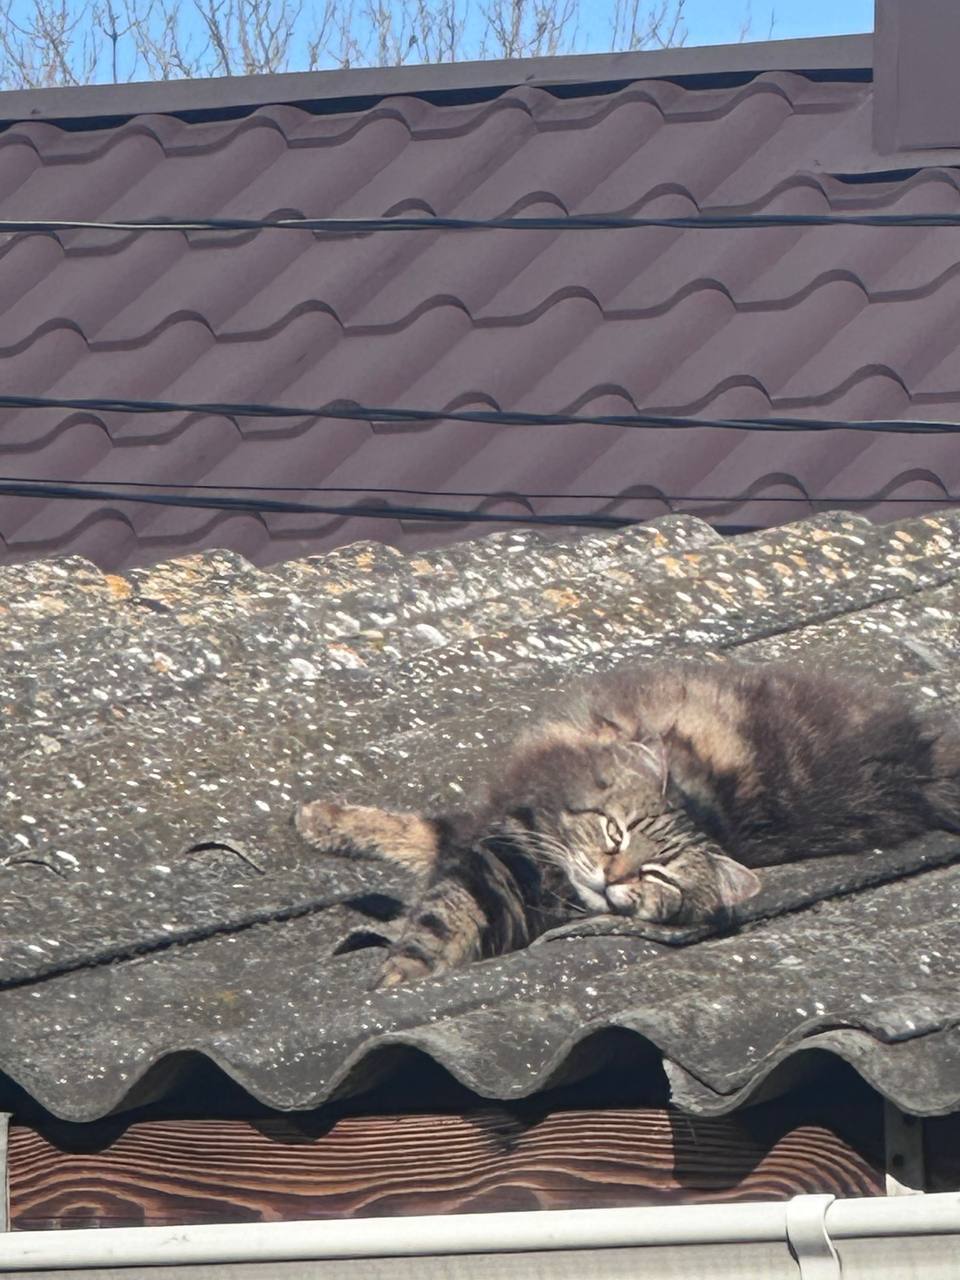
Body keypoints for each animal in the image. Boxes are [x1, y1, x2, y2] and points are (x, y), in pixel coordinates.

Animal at [296, 660, 960, 987]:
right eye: (615, 834)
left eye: (659, 878)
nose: (614, 877)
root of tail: (919, 761)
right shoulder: (498, 834)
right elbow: (419, 846)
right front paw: (323, 821)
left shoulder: (497, 872)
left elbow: (440, 908)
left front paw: (397, 974)